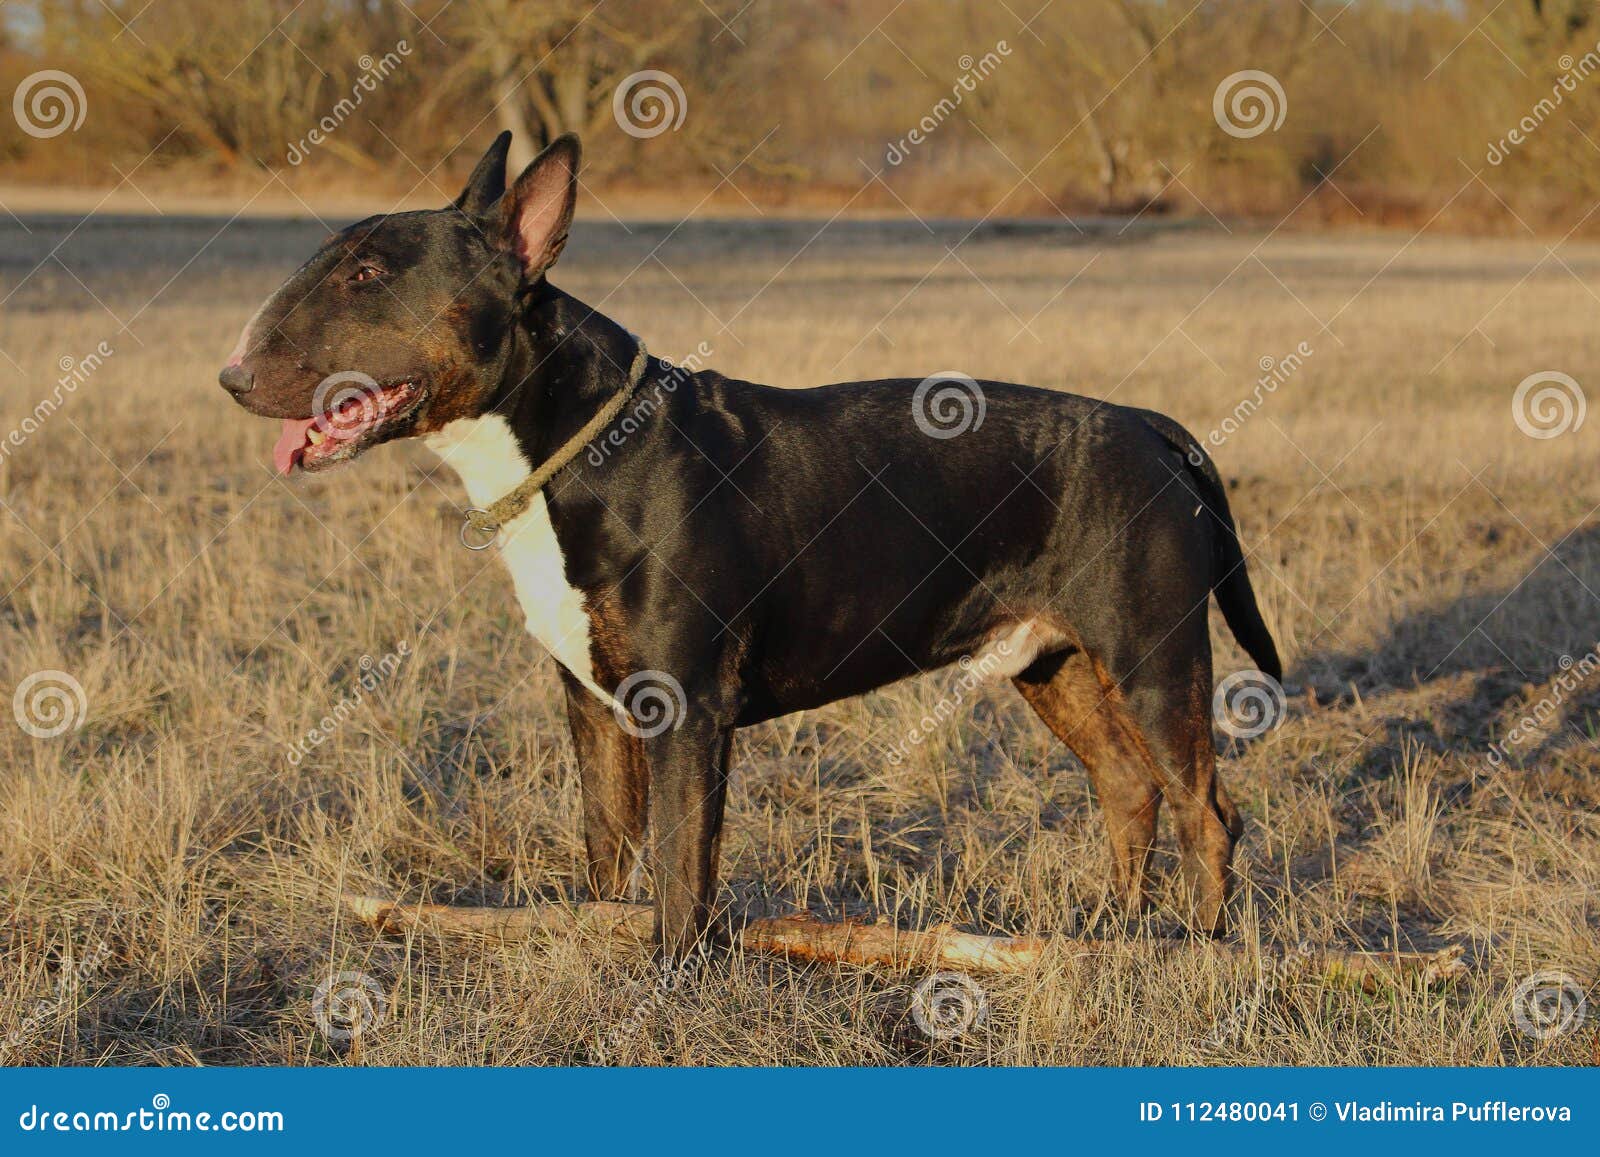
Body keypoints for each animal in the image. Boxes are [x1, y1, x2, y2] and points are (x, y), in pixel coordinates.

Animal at [222, 131, 1273, 953]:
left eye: (368, 274)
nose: (231, 375)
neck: (569, 443)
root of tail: (1149, 428)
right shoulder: (592, 706)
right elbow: (611, 851)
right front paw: (598, 938)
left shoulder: (688, 704)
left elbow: (684, 864)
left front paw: (669, 981)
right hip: (1054, 665)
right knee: (1129, 788)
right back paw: (1112, 933)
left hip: (1151, 655)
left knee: (1207, 810)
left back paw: (1198, 948)